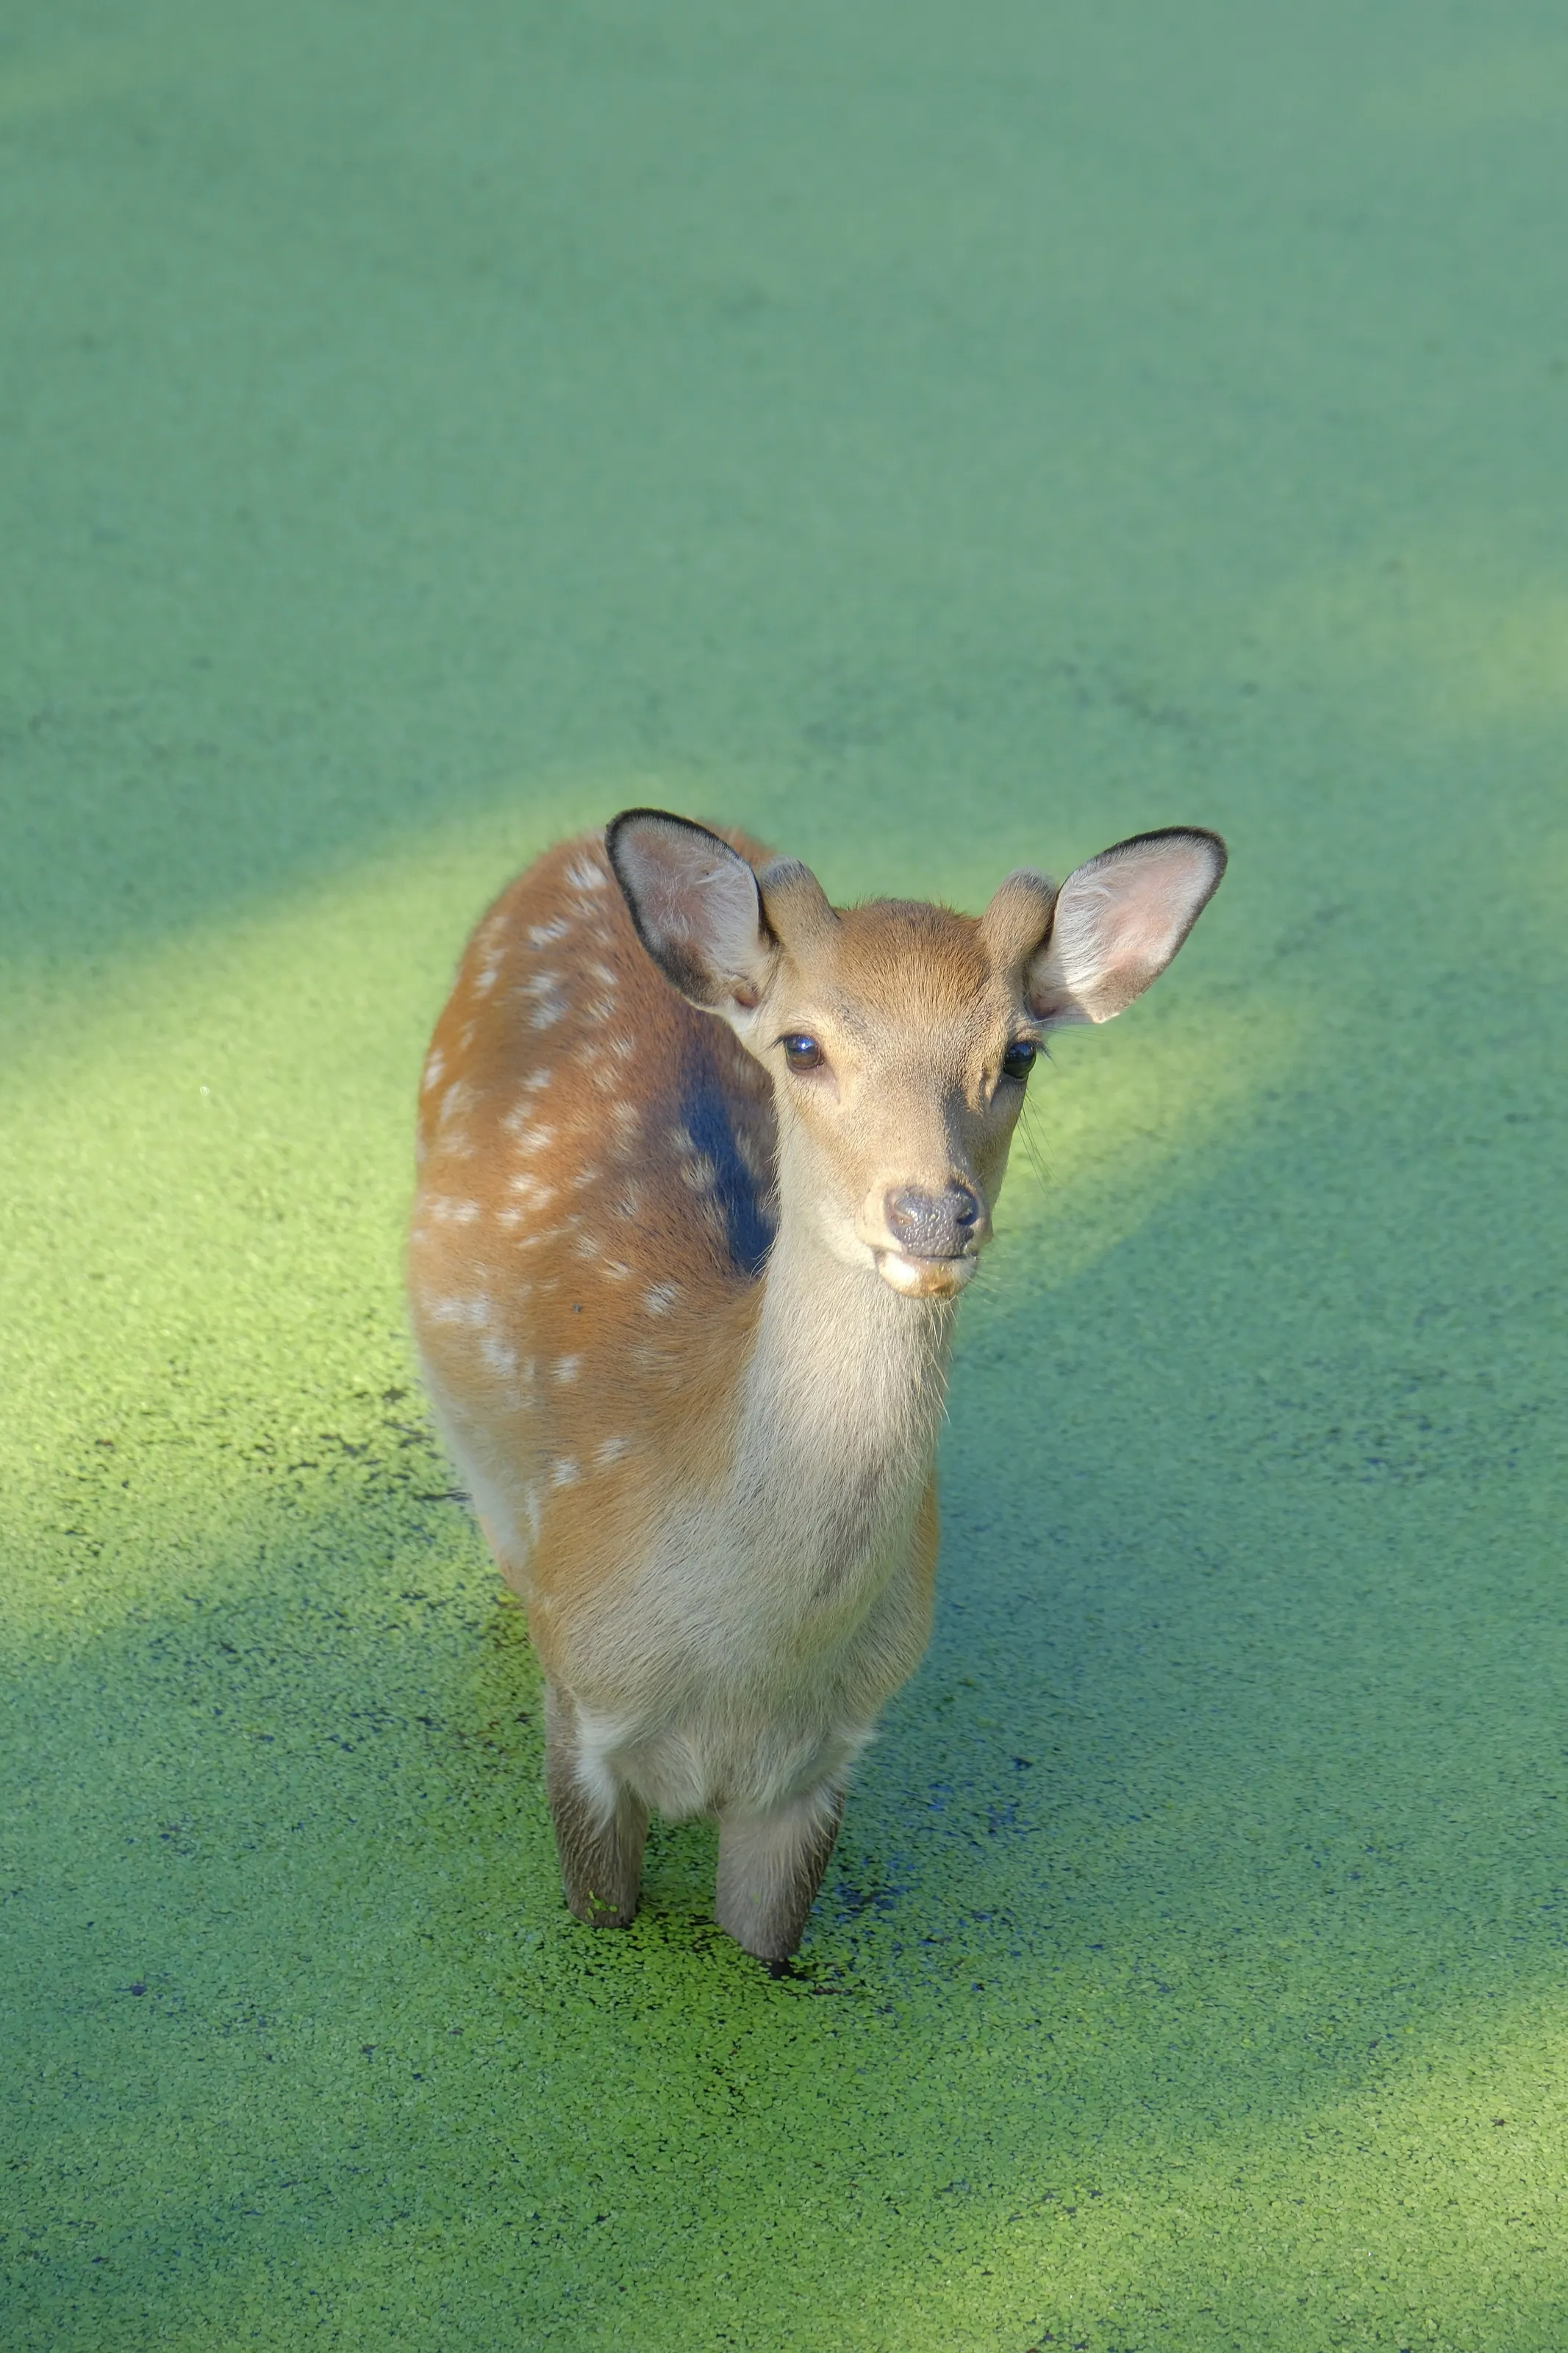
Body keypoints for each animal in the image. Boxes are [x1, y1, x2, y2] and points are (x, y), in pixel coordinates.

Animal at [407, 810, 1226, 1960]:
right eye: (803, 1046)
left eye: (1019, 1051)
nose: (933, 1212)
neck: (744, 1675)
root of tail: (565, 844)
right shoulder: (578, 1702)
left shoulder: (821, 1765)